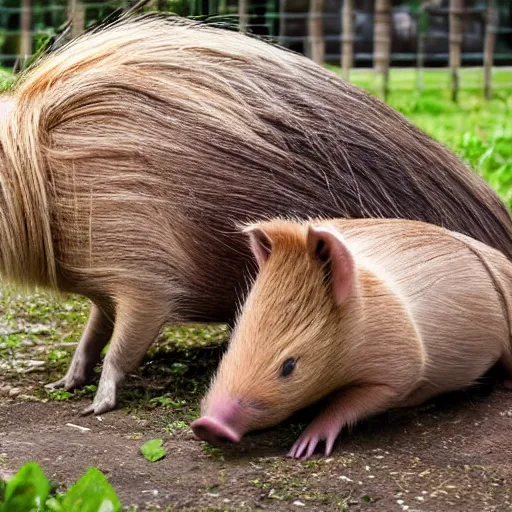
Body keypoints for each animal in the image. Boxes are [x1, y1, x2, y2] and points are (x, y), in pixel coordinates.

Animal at [1, 14, 512, 414]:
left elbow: (122, 346)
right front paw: (67, 381)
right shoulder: (104, 288)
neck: (42, 171)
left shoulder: (145, 279)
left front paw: (100, 401)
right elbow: (92, 336)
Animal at [191, 218, 512, 458]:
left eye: (289, 366)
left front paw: (302, 449)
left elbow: (350, 403)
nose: (207, 425)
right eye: (233, 344)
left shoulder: (398, 368)